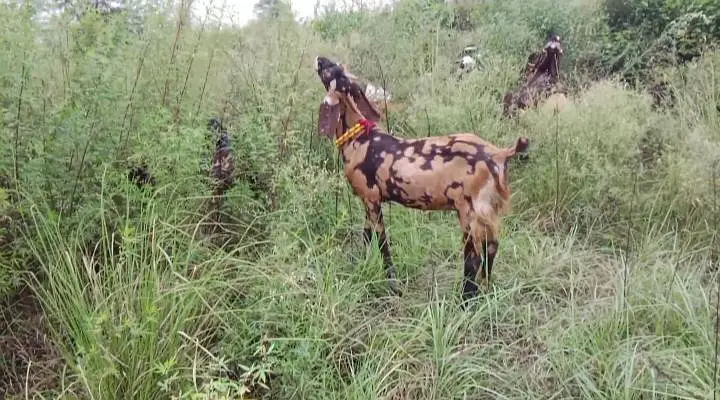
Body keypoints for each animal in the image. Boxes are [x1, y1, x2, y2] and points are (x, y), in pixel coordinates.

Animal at [314, 56, 529, 304]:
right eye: (338, 67)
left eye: (330, 71)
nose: (319, 58)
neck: (360, 139)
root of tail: (500, 154)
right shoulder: (368, 201)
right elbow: (366, 237)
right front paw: (360, 265)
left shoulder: (371, 198)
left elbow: (382, 243)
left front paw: (393, 285)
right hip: (485, 211)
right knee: (490, 248)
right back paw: (484, 291)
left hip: (470, 211)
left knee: (474, 256)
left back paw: (464, 301)